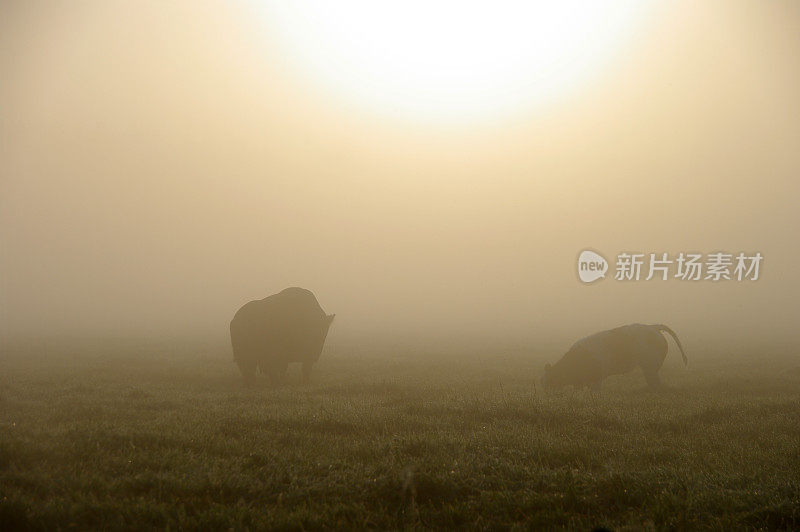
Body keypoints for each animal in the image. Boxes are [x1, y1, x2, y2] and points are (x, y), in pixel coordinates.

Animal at [544, 322, 688, 392]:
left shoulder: (598, 376)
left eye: (550, 381)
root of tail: (654, 327)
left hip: (650, 366)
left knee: (655, 382)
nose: (547, 395)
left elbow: (595, 388)